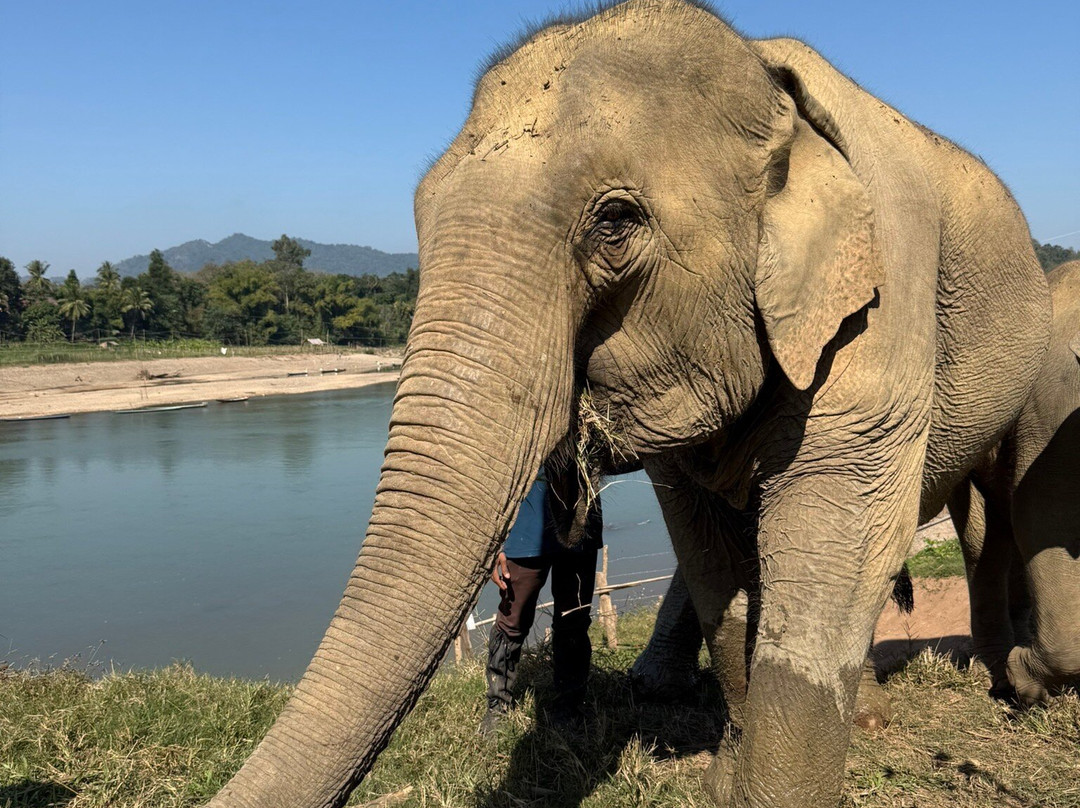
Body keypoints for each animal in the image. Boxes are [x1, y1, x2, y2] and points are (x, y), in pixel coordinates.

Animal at [207, 3, 1051, 808]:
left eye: (614, 222)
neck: (765, 82)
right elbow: (708, 550)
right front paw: (726, 779)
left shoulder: (884, 301)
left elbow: (835, 524)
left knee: (975, 521)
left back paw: (984, 687)